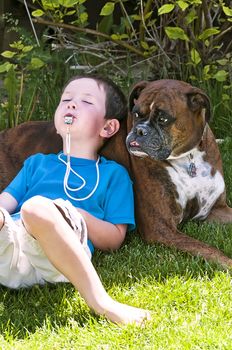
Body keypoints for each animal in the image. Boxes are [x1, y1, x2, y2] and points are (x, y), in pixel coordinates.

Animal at [0, 79, 231, 266]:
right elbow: (208, 249)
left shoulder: (216, 210)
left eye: (163, 119)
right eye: (136, 114)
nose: (139, 131)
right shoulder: (161, 228)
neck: (188, 158)